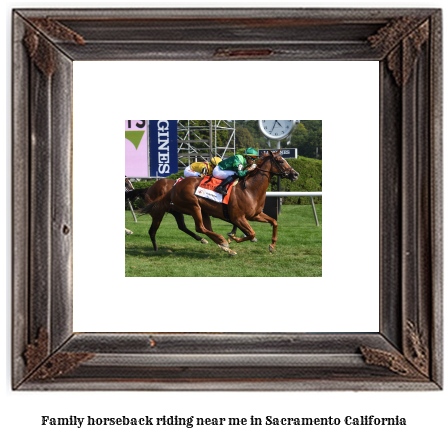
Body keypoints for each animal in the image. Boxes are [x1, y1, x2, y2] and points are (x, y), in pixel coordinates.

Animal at [142, 151, 300, 255]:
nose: (296, 174)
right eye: (281, 161)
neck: (249, 189)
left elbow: (274, 222)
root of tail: (174, 187)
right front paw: (233, 237)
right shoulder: (238, 217)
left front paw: (272, 245)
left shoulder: (255, 215)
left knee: (202, 227)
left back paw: (223, 246)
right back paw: (222, 242)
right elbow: (251, 233)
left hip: (201, 210)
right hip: (191, 207)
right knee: (199, 227)